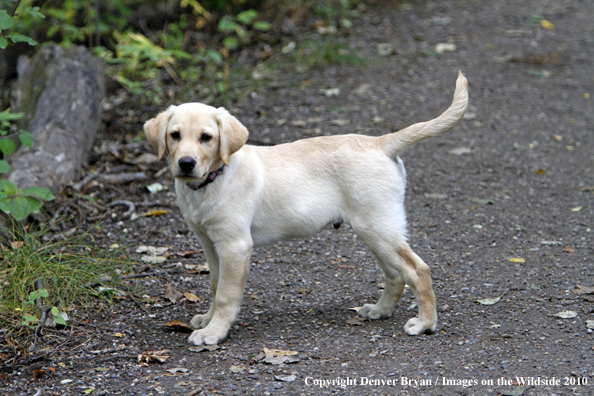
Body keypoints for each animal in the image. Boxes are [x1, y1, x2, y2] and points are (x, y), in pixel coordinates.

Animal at [145, 72, 468, 344]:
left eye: (207, 137)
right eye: (174, 135)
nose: (186, 164)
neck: (214, 179)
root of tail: (380, 142)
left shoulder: (234, 245)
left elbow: (225, 293)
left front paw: (215, 332)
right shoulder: (209, 243)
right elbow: (214, 284)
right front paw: (209, 319)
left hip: (377, 227)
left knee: (418, 270)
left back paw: (425, 323)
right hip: (376, 229)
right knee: (396, 274)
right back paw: (380, 310)